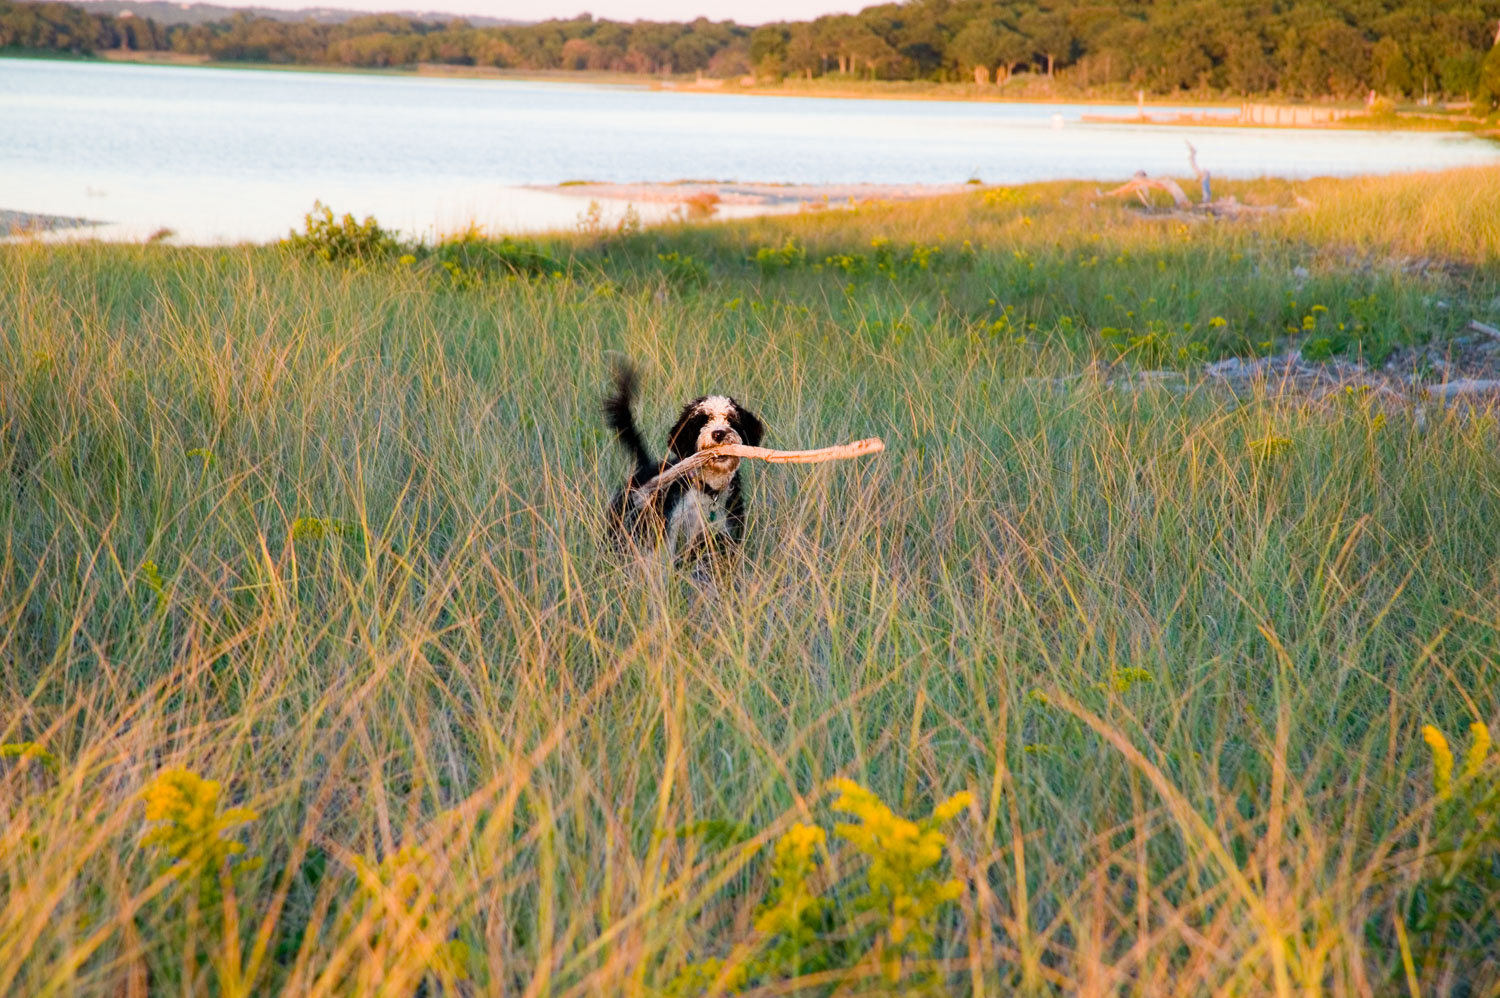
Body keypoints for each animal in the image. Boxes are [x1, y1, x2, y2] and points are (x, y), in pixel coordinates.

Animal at [600, 361, 762, 561]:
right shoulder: (670, 532)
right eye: (702, 421)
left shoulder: (725, 534)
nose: (718, 433)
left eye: (731, 419)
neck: (707, 491)